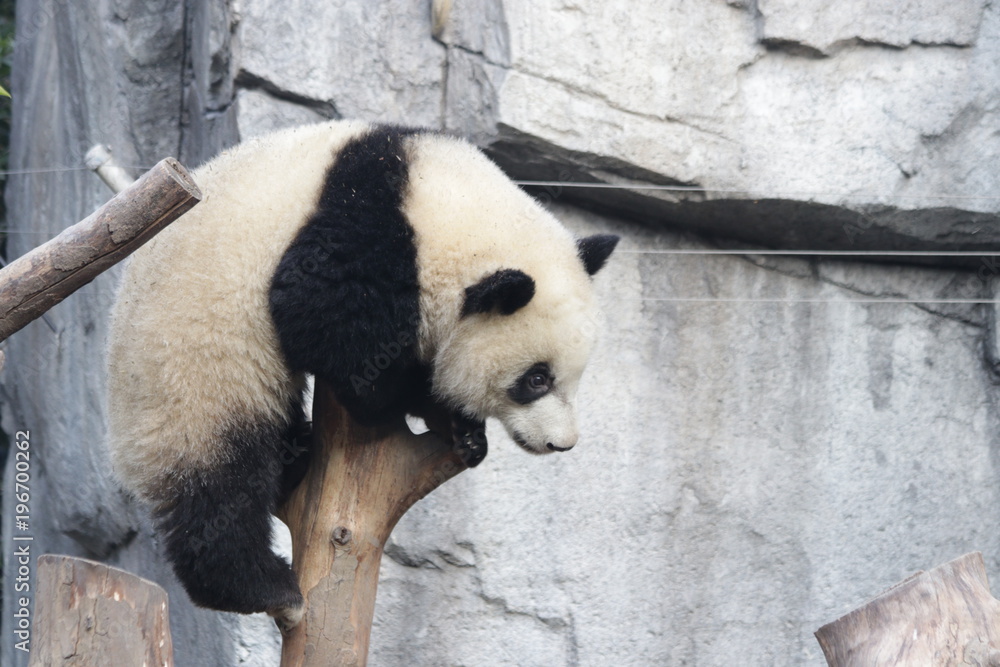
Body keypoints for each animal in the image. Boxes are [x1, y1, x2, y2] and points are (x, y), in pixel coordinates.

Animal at [105, 120, 618, 629]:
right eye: (536, 379)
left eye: (572, 377)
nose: (561, 443)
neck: (434, 202)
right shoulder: (361, 232)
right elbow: (320, 317)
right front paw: (414, 397)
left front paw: (465, 431)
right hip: (190, 370)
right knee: (220, 484)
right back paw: (262, 585)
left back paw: (299, 452)